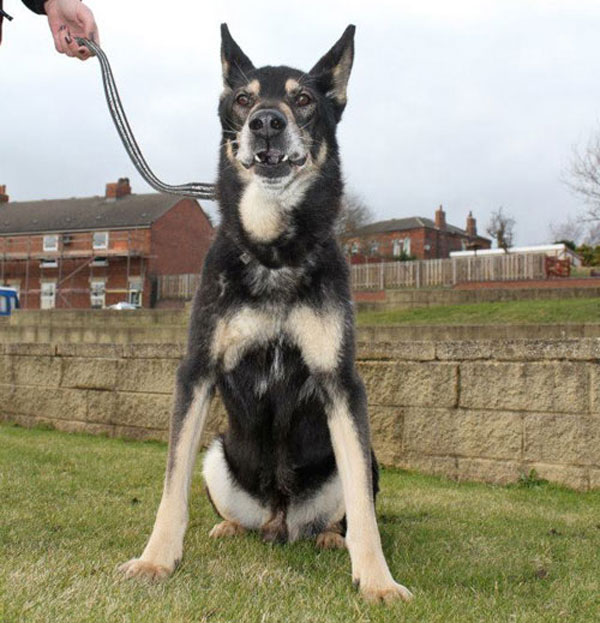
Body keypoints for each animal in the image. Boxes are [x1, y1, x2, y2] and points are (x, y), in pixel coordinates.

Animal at [120, 24, 414, 604]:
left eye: (303, 99)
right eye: (243, 98)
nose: (266, 123)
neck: (274, 249)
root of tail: (281, 520)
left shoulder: (341, 383)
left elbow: (364, 512)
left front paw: (377, 579)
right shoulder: (196, 371)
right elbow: (171, 484)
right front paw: (157, 559)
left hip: (363, 461)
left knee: (343, 512)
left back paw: (328, 537)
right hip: (217, 456)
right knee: (235, 510)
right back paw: (230, 527)